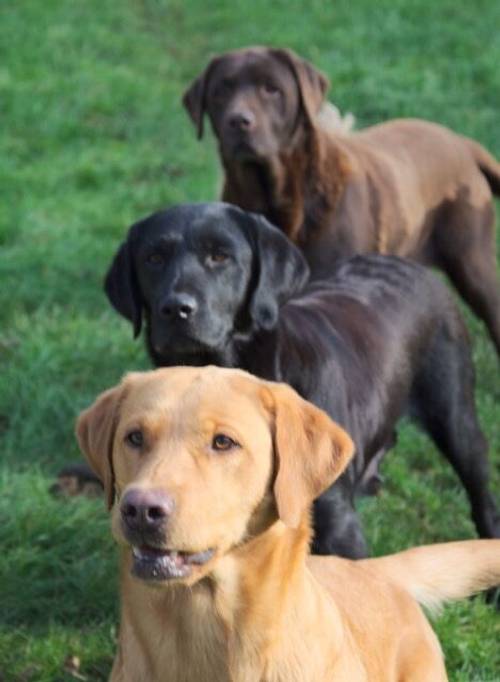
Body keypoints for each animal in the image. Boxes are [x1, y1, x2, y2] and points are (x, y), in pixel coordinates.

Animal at [103, 203, 498, 556]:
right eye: (154, 258)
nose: (176, 309)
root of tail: (413, 267)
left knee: (481, 493)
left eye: (220, 256)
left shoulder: (337, 526)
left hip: (455, 414)